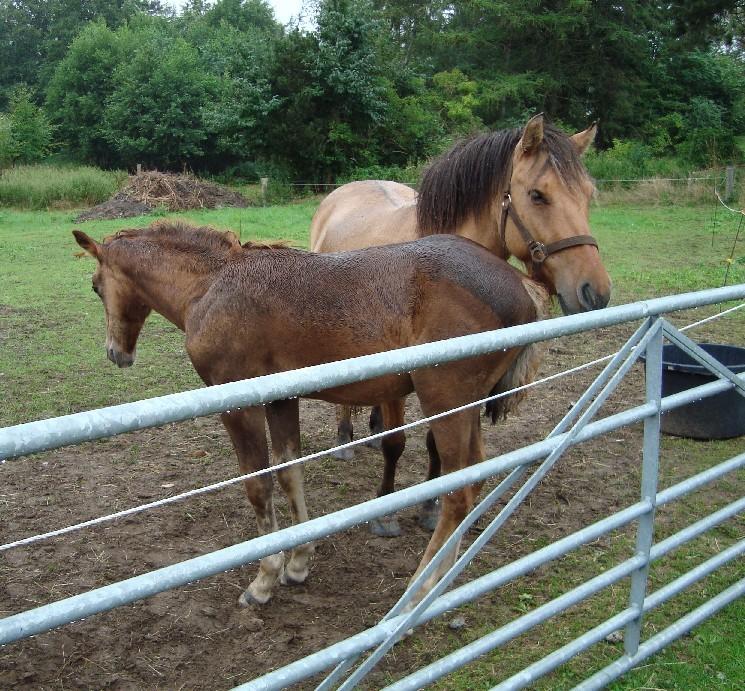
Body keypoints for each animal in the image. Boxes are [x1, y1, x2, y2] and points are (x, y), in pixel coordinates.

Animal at [74, 224, 548, 608]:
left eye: (96, 286)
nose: (116, 353)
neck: (210, 285)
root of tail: (521, 286)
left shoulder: (238, 403)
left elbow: (258, 486)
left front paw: (264, 580)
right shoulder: (281, 399)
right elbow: (290, 473)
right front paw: (299, 562)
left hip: (446, 402)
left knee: (458, 492)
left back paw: (420, 588)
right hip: (467, 410)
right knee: (475, 475)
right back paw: (445, 575)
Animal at [308, 115, 612, 536]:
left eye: (587, 194)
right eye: (537, 195)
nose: (595, 292)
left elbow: (435, 446)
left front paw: (430, 507)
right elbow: (396, 444)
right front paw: (385, 512)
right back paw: (346, 437)